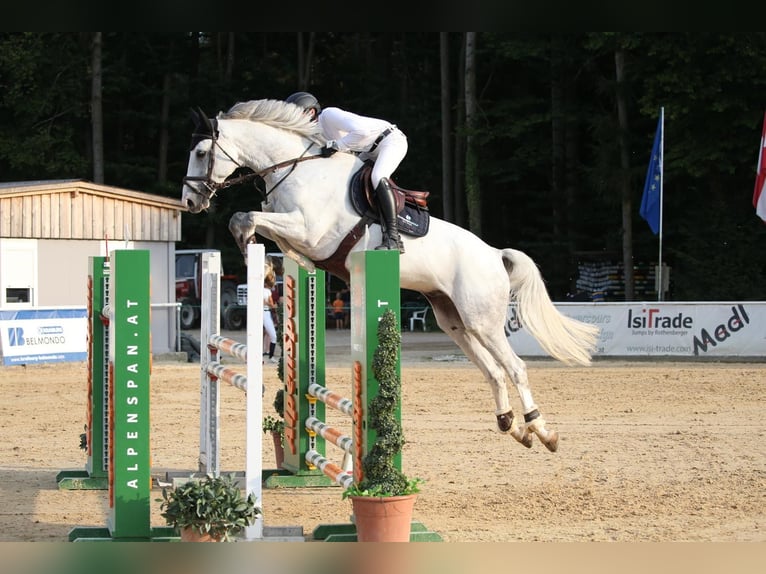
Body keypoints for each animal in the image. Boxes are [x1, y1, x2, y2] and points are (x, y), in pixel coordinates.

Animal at [181, 99, 599, 452]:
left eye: (201, 153)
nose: (190, 201)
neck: (295, 167)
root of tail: (495, 255)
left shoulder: (311, 231)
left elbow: (246, 218)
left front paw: (249, 244)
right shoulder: (292, 228)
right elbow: (262, 227)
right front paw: (269, 259)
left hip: (483, 319)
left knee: (515, 367)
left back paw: (542, 431)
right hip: (454, 321)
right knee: (494, 371)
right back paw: (513, 427)